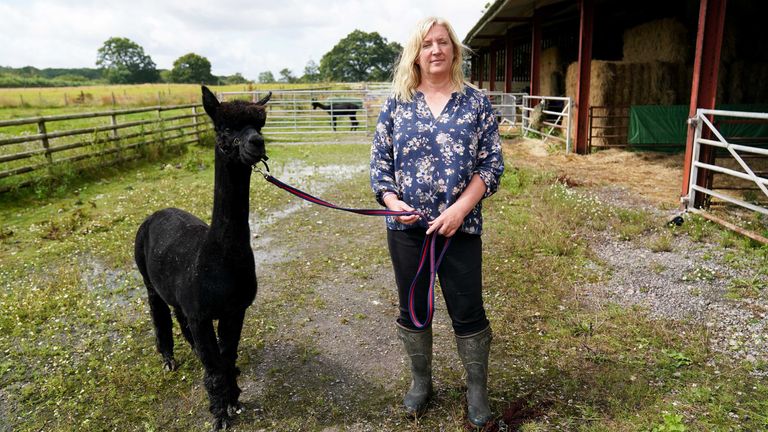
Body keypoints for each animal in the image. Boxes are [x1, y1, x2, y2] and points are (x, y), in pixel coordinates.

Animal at [135, 86, 270, 430]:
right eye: (225, 130)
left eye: (259, 125)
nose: (256, 143)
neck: (219, 260)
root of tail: (157, 213)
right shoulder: (202, 312)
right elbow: (215, 367)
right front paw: (220, 414)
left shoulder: (234, 308)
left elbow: (227, 357)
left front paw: (233, 400)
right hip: (146, 275)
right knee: (158, 312)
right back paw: (168, 359)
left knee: (177, 313)